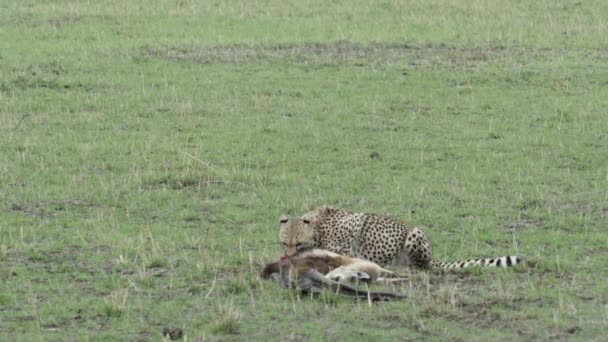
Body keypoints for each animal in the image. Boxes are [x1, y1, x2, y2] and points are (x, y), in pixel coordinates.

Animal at [278, 206, 520, 270]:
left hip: (414, 234)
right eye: (284, 243)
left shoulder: (354, 230)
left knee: (421, 266)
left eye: (298, 243)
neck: (318, 227)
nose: (286, 257)